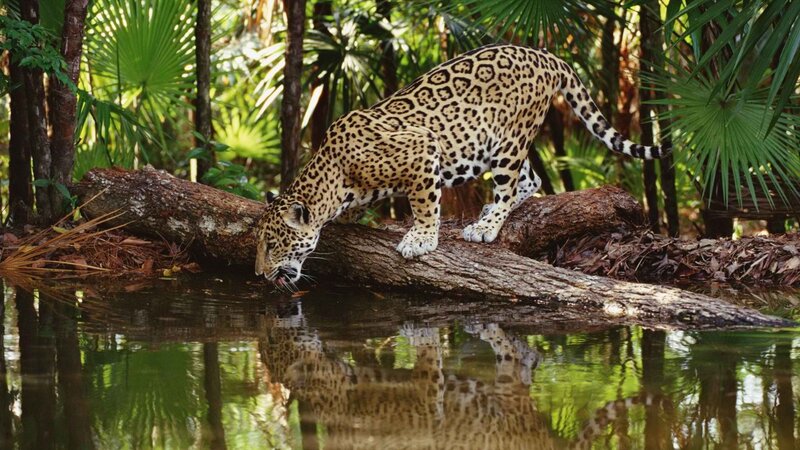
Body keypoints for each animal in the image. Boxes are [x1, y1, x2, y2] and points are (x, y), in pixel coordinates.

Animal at [255, 43, 671, 285]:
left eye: (273, 244)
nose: (260, 273)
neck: (334, 176)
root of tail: (545, 55)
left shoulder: (422, 149)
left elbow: (424, 204)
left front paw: (421, 238)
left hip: (508, 140)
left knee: (510, 184)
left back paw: (486, 226)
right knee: (532, 178)